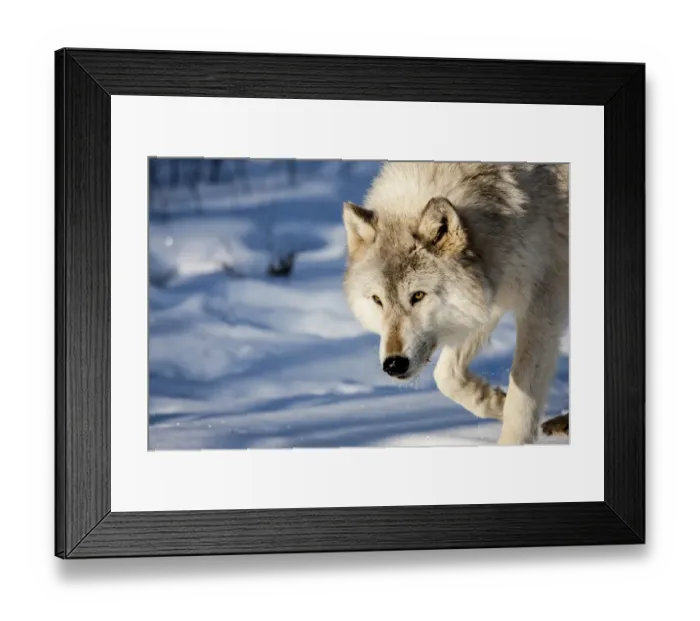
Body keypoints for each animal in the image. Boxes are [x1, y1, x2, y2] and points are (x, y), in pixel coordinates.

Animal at [342, 162, 569, 445]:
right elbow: (446, 376)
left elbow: (522, 395)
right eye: (377, 300)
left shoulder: (543, 302)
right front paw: (496, 402)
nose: (393, 364)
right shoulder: (488, 294)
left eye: (418, 295)